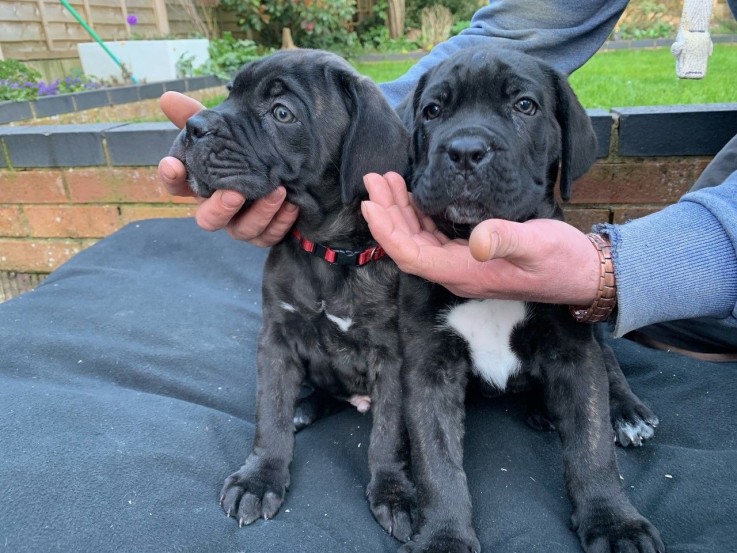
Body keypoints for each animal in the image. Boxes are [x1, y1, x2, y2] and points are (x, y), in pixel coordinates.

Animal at [169, 49, 416, 540]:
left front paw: (393, 490)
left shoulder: (394, 356)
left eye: (282, 113)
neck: (326, 250)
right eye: (229, 93)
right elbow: (271, 413)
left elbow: (388, 432)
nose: (194, 125)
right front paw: (259, 477)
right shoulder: (277, 340)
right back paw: (306, 408)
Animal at [400, 48, 664, 552]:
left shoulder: (573, 352)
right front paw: (444, 535)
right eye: (432, 112)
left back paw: (627, 411)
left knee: (609, 364)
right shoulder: (429, 366)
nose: (465, 150)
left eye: (524, 105)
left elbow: (591, 444)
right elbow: (436, 460)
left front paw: (613, 521)